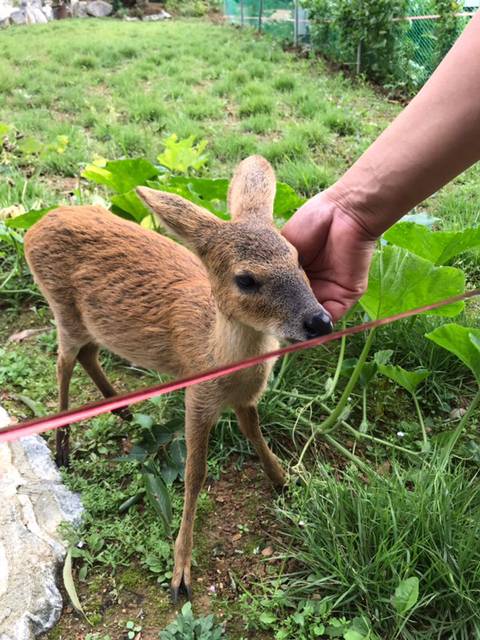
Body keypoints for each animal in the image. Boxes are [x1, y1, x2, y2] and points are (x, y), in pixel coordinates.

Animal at [25, 155, 334, 600]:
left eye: (297, 256)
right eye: (245, 278)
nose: (320, 321)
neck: (219, 356)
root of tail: (36, 226)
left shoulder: (247, 398)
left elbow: (256, 436)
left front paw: (285, 480)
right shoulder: (197, 395)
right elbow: (194, 474)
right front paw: (180, 573)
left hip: (88, 322)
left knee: (87, 354)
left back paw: (121, 410)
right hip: (61, 307)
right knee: (64, 362)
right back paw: (63, 446)